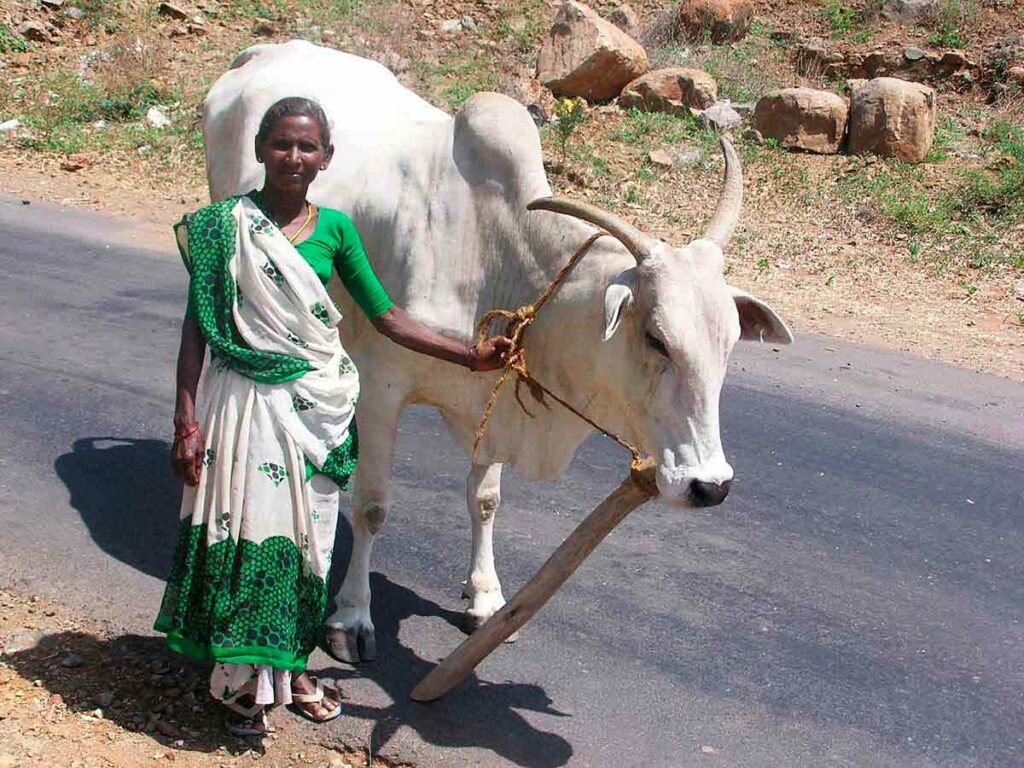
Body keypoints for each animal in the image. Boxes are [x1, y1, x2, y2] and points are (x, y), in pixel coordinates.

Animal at [201, 40, 790, 663]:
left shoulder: (495, 394)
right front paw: (352, 616)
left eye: (729, 342)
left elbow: (484, 499)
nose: (711, 486)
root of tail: (264, 51)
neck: (494, 248)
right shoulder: (382, 390)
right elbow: (372, 505)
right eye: (656, 338)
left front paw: (484, 598)